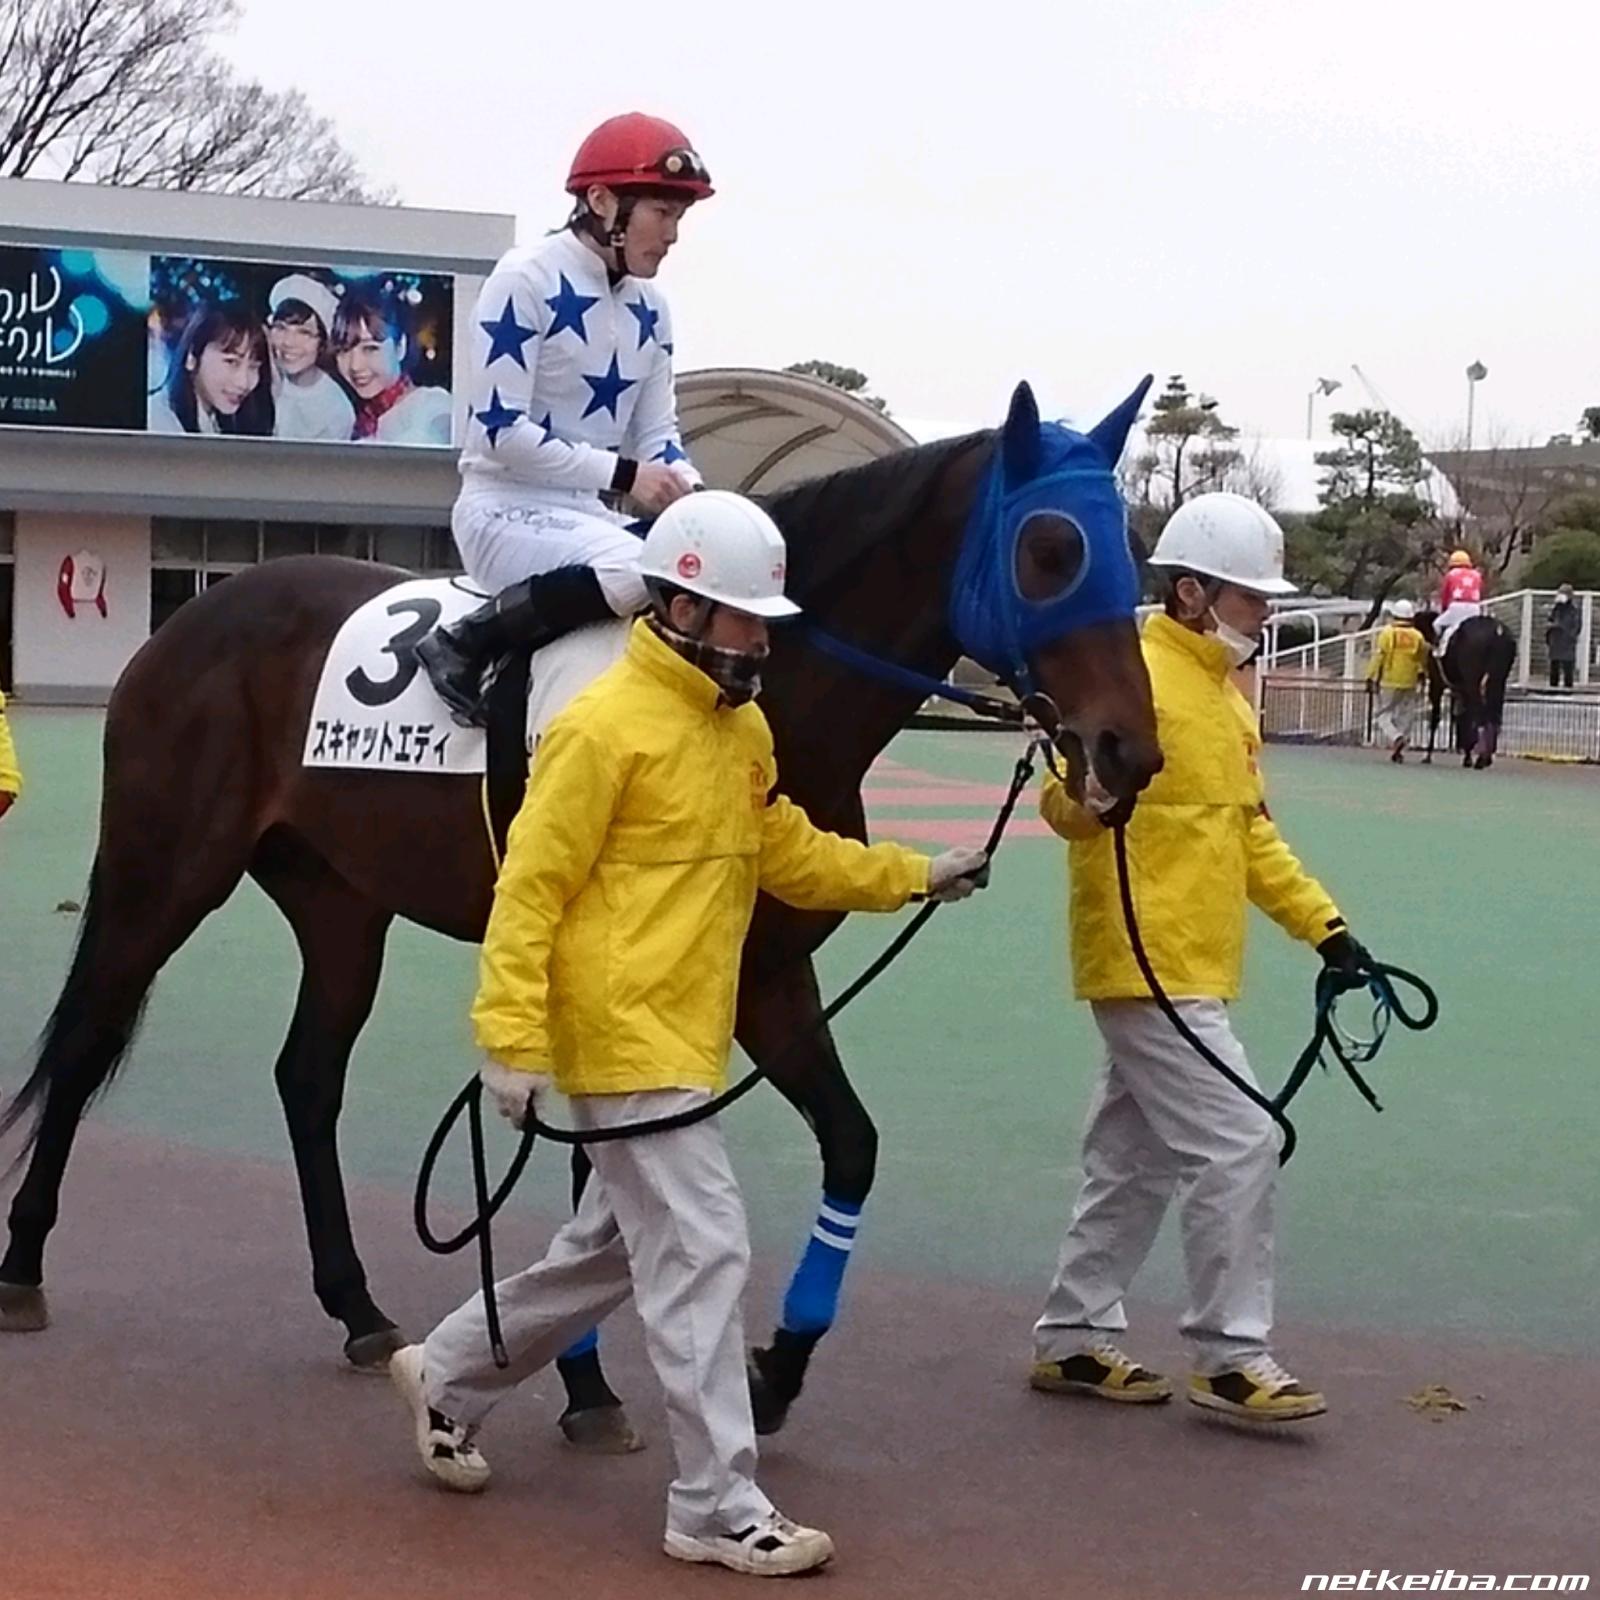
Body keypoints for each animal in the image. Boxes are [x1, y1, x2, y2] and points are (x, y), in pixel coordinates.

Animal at [0, 380, 1164, 1444]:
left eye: (1128, 551)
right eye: (1050, 549)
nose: (1129, 750)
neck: (749, 689)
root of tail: (194, 614)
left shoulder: (768, 974)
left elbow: (848, 1144)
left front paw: (764, 1369)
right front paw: (587, 1378)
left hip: (342, 904)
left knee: (306, 1077)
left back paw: (358, 1307)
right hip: (167, 868)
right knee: (91, 1033)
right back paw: (22, 1267)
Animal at [1418, 610, 1517, 769]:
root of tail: (1498, 630)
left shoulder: (1437, 685)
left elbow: (1436, 717)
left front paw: (1428, 755)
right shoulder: (1461, 691)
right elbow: (1463, 718)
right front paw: (1467, 755)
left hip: (1474, 681)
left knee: (1480, 715)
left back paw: (1481, 759)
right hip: (1497, 680)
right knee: (1493, 715)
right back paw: (1485, 757)